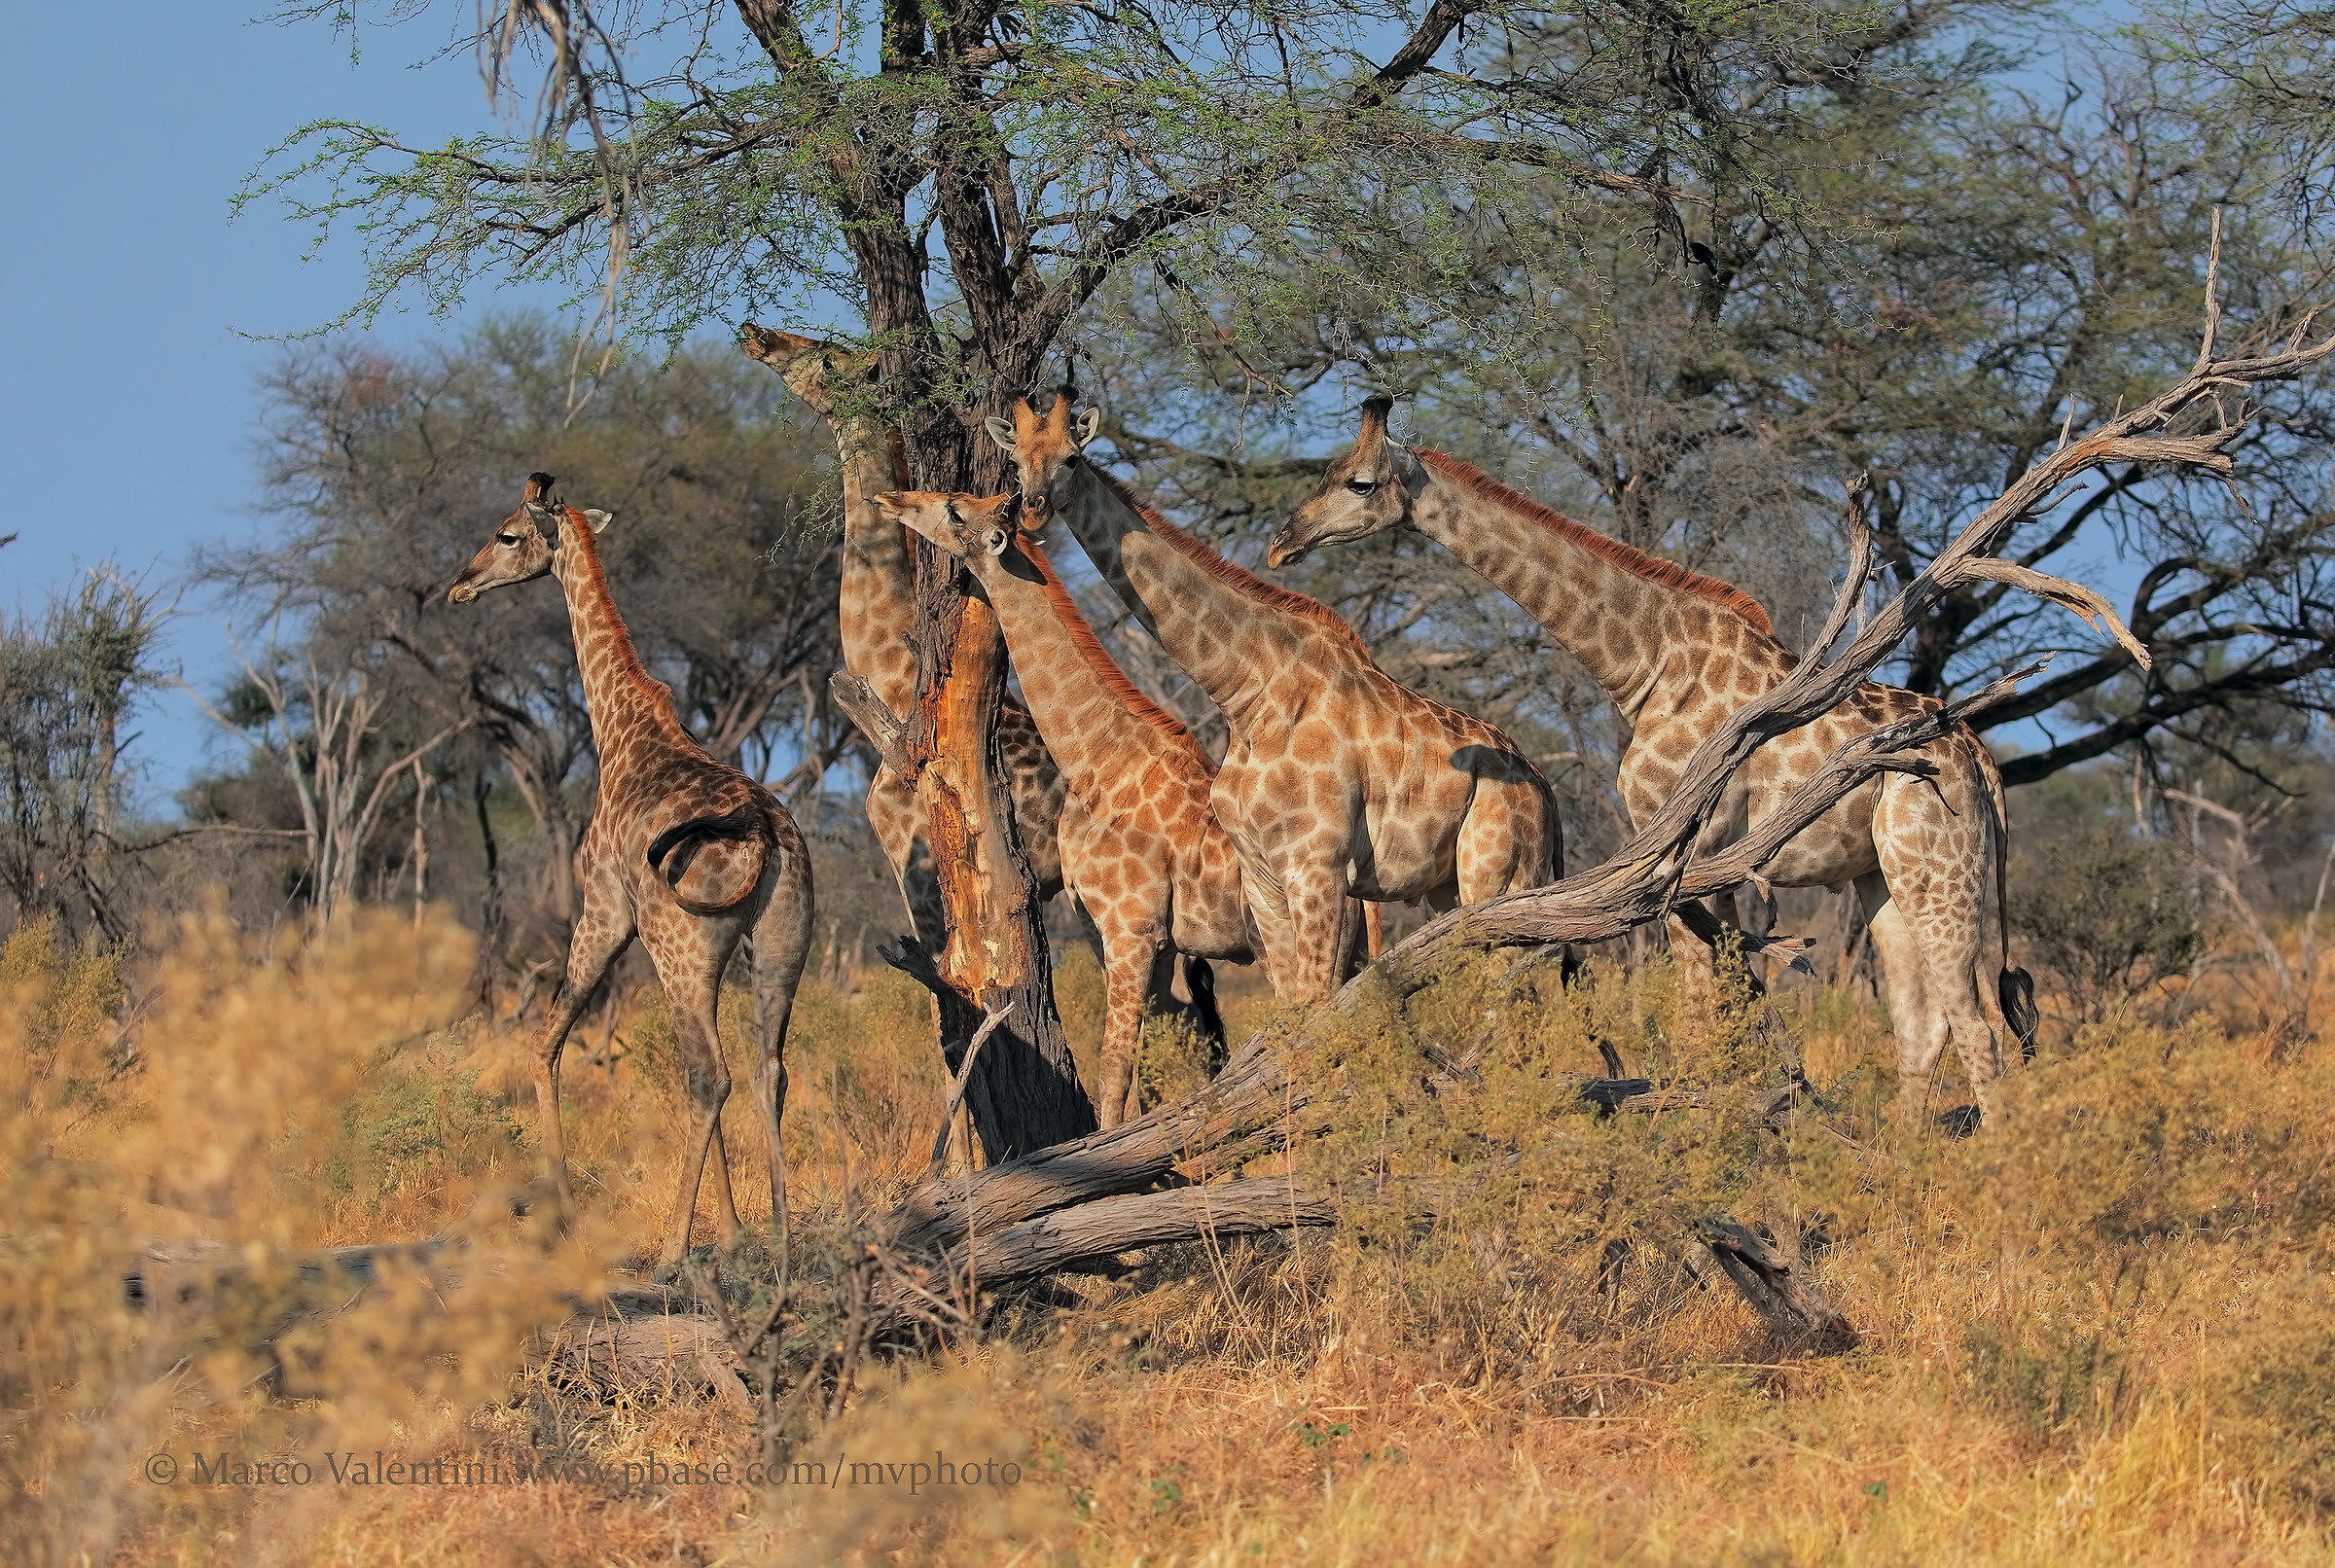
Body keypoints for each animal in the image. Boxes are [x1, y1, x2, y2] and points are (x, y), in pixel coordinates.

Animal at [448, 473, 815, 1265]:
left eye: (506, 534)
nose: (460, 585)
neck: (617, 726)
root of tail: (766, 830)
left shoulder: (604, 912)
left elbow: (545, 1044)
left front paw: (562, 1209)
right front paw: (733, 1231)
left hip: (681, 946)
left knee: (708, 1075)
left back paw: (675, 1248)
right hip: (779, 943)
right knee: (766, 1069)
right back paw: (778, 1234)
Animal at [870, 489, 1261, 1126]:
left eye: (955, 510)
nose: (892, 498)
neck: (1098, 759)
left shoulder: (1131, 928)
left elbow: (1115, 1063)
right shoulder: (1120, 933)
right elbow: (1148, 1050)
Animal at [987, 397, 1562, 1000]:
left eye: (1072, 458)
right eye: (1017, 460)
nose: (1032, 510)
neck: (1248, 695)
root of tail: (1544, 789)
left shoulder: (1317, 866)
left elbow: (1316, 1003)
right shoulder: (1264, 879)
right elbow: (1293, 1008)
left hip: (1496, 874)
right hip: (1445, 887)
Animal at [1270, 397, 2040, 1124]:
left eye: (1359, 481)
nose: (1282, 542)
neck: (1645, 664)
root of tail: (1982, 761)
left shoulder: (1678, 854)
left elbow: (1702, 1008)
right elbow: (1725, 999)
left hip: (1937, 868)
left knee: (1978, 1026)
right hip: (1881, 875)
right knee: (1924, 1024)